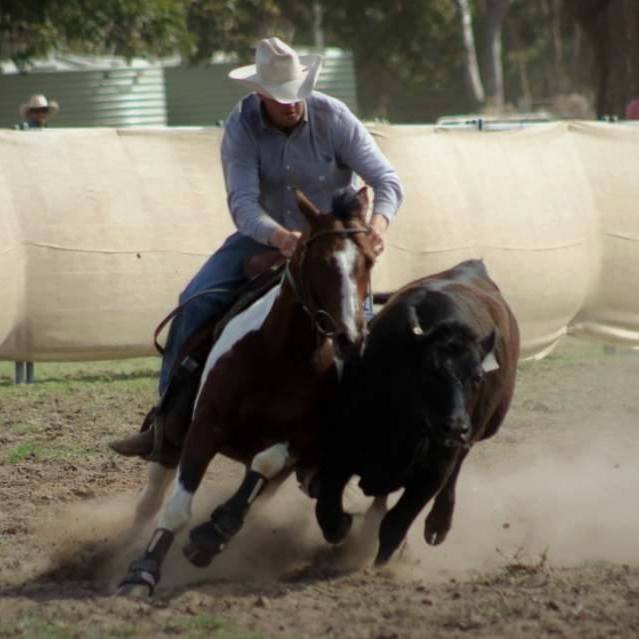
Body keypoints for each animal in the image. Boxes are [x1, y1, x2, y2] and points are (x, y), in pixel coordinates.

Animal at [117, 186, 377, 595]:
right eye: (319, 260)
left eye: (368, 259)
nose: (350, 338)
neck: (279, 354)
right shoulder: (205, 425)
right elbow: (176, 508)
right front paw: (141, 573)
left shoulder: (301, 438)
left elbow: (264, 463)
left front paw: (211, 534)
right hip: (171, 438)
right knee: (152, 494)